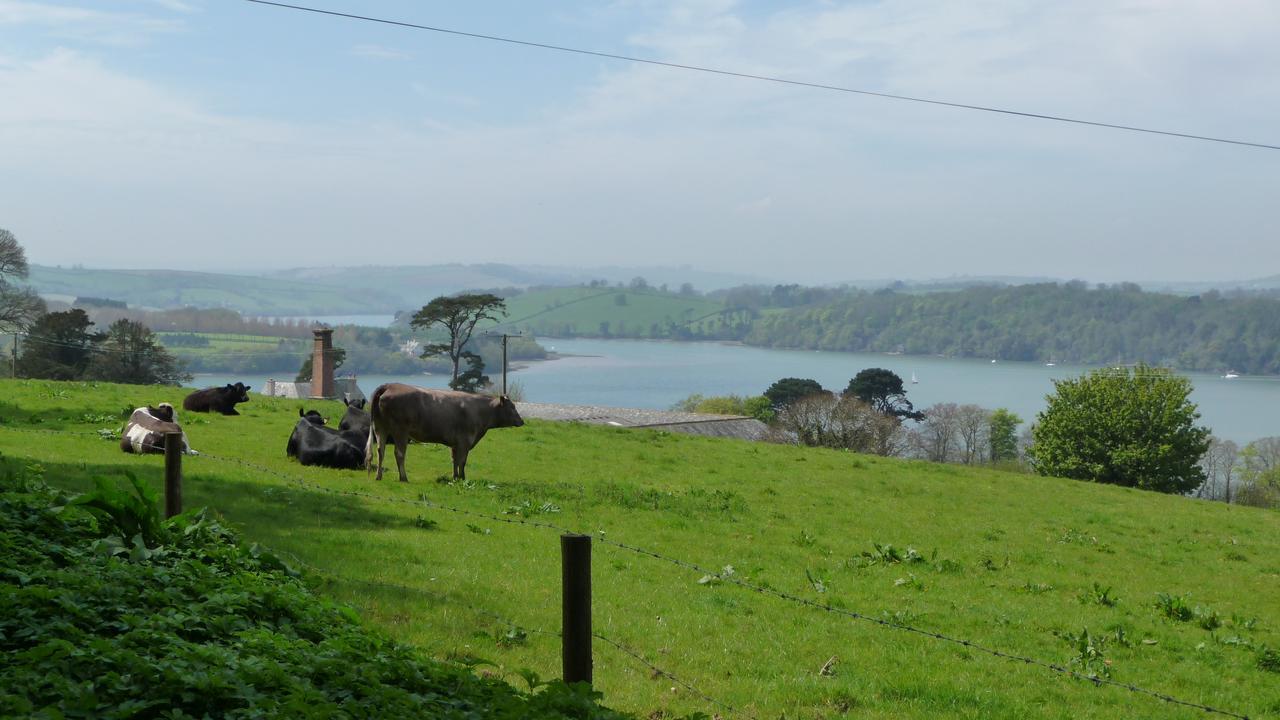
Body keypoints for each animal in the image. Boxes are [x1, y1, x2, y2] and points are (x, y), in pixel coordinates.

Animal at [363, 381, 522, 481]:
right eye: (512, 407)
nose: (522, 421)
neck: (480, 410)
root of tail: (390, 385)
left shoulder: (455, 444)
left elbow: (454, 461)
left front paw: (455, 477)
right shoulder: (465, 441)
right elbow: (462, 461)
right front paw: (462, 478)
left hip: (380, 427)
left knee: (380, 450)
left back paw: (378, 476)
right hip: (400, 430)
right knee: (399, 453)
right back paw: (403, 477)